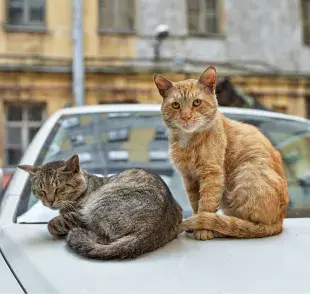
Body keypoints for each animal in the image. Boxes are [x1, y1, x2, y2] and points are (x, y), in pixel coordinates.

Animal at [154, 66, 290, 241]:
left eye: (196, 102)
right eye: (176, 105)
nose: (186, 117)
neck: (188, 141)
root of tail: (280, 221)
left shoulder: (212, 174)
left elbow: (207, 204)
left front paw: (203, 229)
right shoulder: (189, 178)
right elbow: (195, 202)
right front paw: (196, 222)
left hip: (246, 173)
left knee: (248, 226)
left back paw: (219, 229)